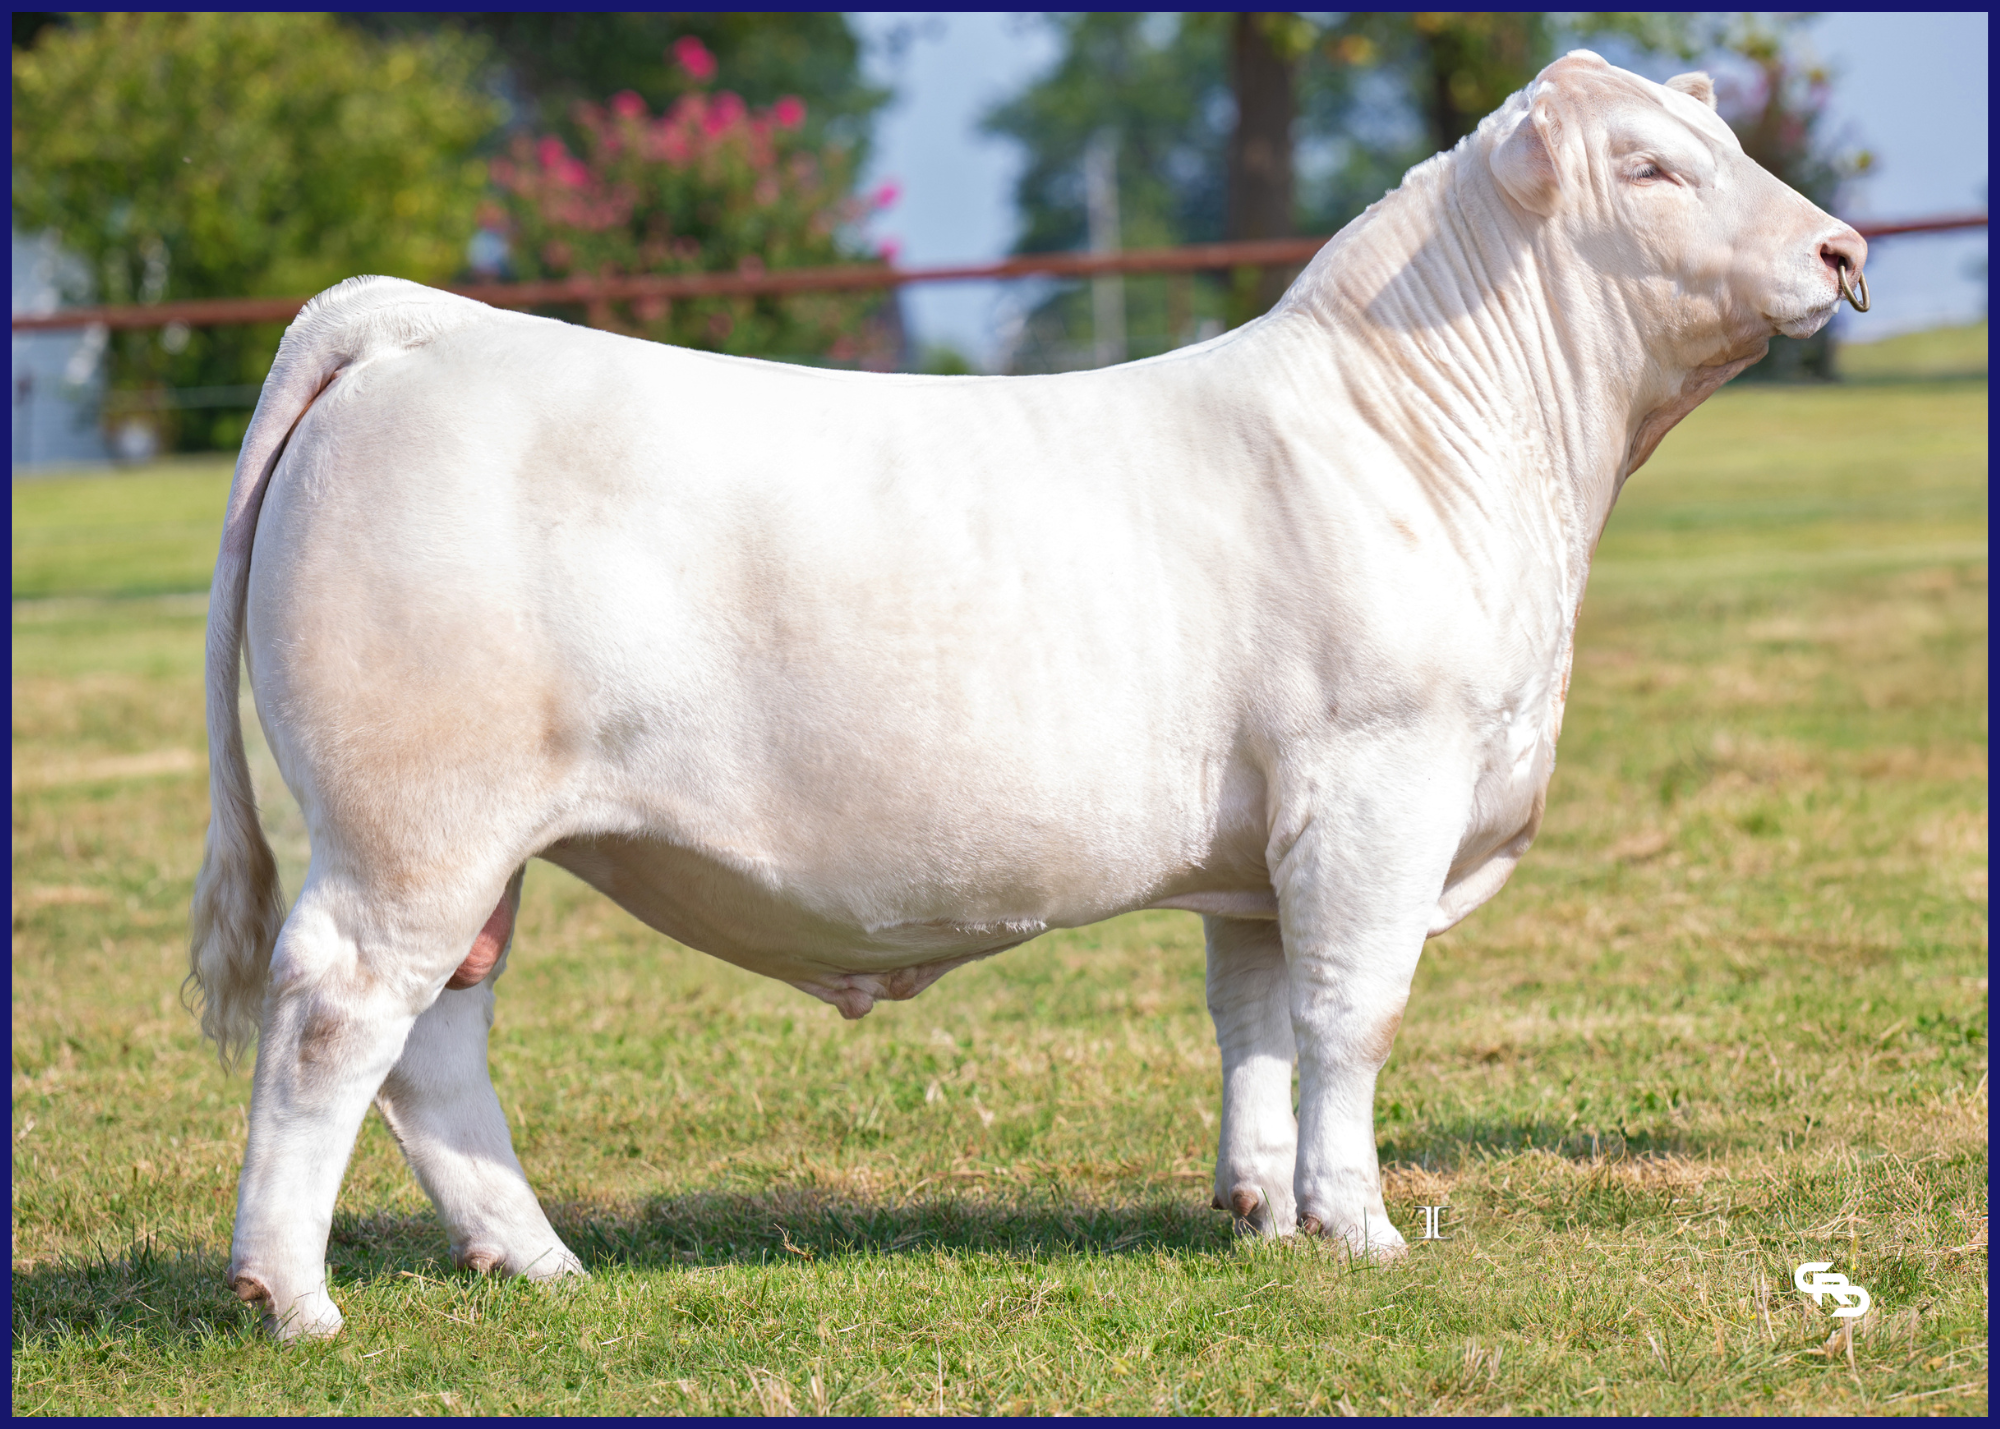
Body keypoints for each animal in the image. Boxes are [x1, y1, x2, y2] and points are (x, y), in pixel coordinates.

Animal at [188, 52, 1867, 1339]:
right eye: (1651, 167)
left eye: (1726, 143)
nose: (1845, 252)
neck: (1433, 444)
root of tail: (421, 323)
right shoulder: (1379, 782)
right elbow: (1353, 1012)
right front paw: (1361, 1222)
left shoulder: (1264, 849)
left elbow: (1254, 1017)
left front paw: (1260, 1208)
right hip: (414, 820)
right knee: (339, 1014)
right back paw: (290, 1295)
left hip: (469, 842)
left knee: (439, 1043)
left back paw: (533, 1259)